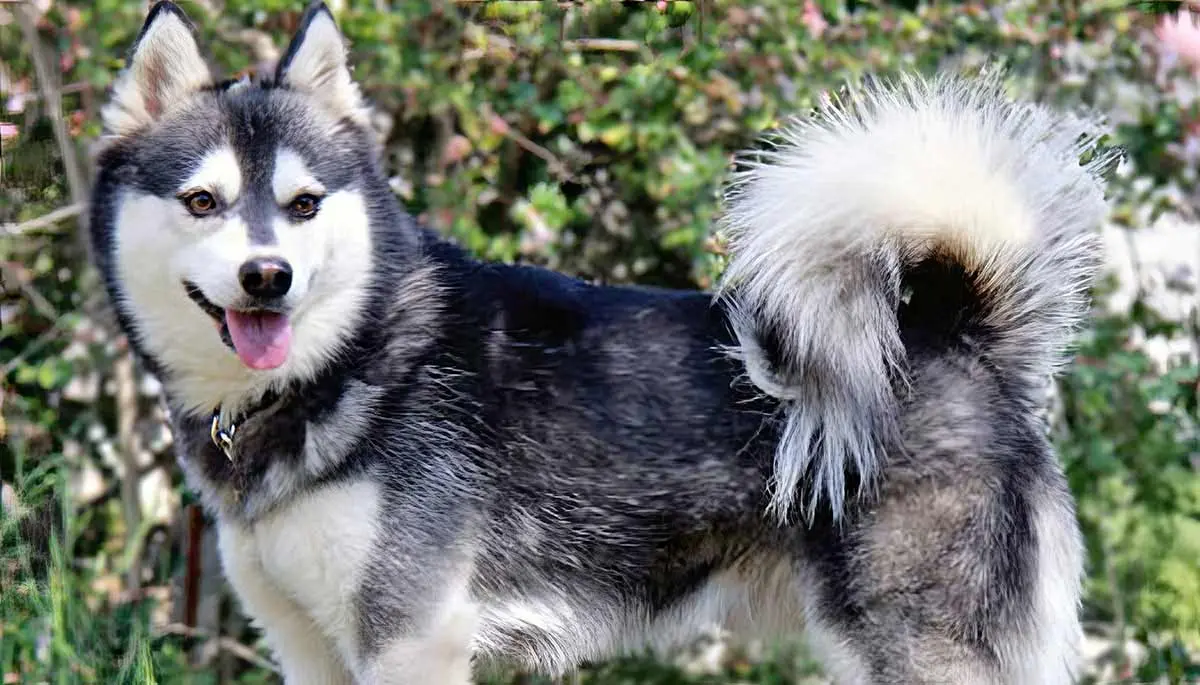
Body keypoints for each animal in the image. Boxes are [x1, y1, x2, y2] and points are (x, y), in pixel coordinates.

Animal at [88, 2, 1118, 681]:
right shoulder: (310, 648)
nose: (268, 276)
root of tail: (955, 339)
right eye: (203, 201)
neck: (352, 363)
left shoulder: (412, 638)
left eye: (302, 204)